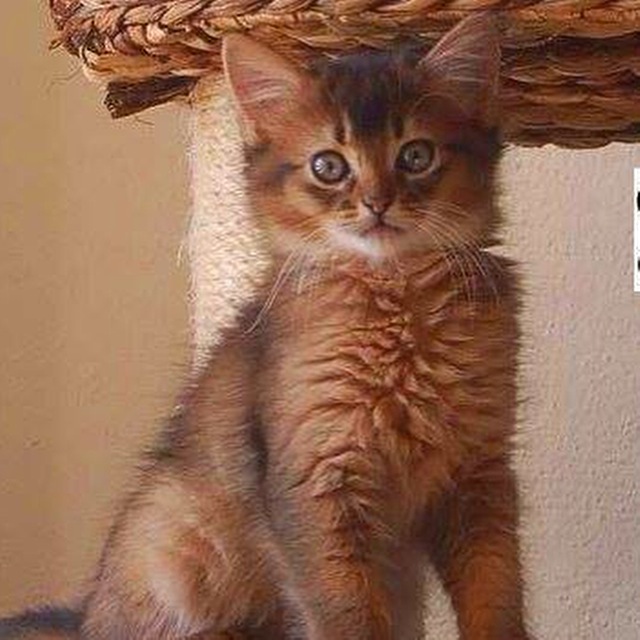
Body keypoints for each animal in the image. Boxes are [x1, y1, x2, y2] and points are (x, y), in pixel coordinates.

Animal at [1, 12, 531, 640]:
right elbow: (347, 614)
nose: (377, 203)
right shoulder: (315, 482)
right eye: (328, 166)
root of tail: (85, 620)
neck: (398, 301)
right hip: (176, 527)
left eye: (416, 156)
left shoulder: (480, 473)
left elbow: (496, 594)